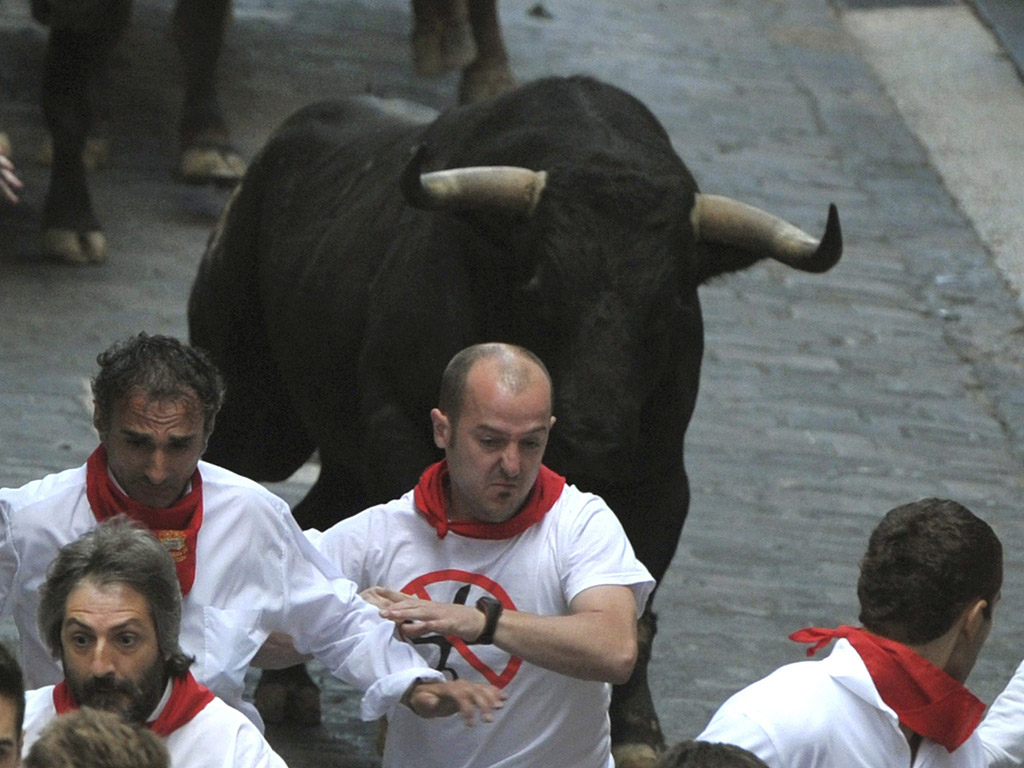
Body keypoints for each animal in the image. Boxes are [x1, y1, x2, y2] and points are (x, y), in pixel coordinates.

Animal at [188, 75, 843, 761]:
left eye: (669, 305)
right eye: (539, 286)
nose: (593, 436)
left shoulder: (660, 477)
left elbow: (635, 608)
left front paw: (636, 730)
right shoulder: (400, 432)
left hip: (342, 454)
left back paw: (288, 681)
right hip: (260, 421)